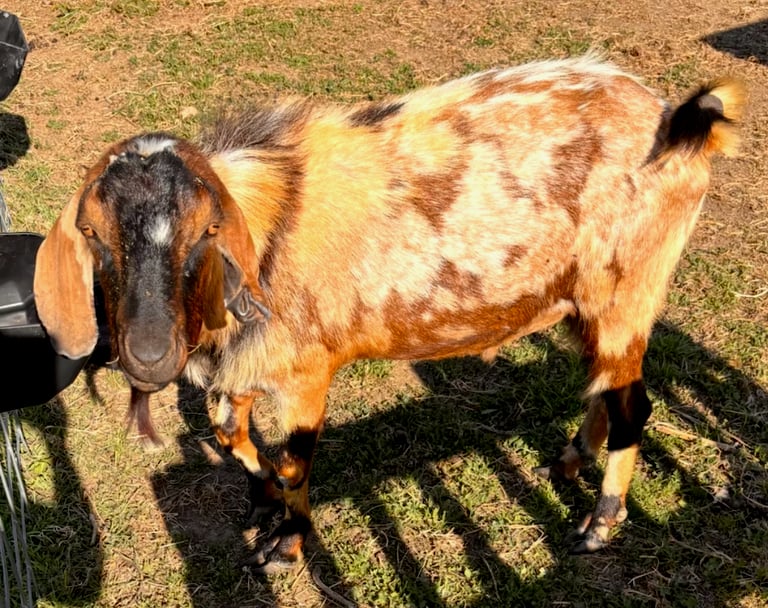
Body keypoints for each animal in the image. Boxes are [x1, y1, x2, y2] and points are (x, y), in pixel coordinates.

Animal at [33, 55, 743, 572]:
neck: (270, 230)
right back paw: (567, 463)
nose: (149, 353)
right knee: (603, 389)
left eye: (206, 231)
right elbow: (231, 434)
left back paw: (599, 523)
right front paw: (263, 502)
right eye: (94, 235)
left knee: (633, 405)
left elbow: (294, 461)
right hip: (585, 306)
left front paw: (286, 544)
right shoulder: (242, 367)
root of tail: (677, 122)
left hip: (627, 294)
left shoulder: (305, 374)